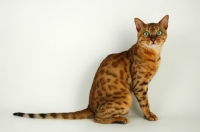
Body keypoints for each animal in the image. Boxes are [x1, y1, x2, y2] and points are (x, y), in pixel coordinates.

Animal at [12, 14, 169, 124]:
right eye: (146, 33)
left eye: (159, 33)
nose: (153, 39)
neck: (154, 55)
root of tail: (89, 106)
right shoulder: (139, 85)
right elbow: (145, 103)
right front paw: (149, 116)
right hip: (126, 97)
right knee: (97, 118)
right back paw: (120, 119)